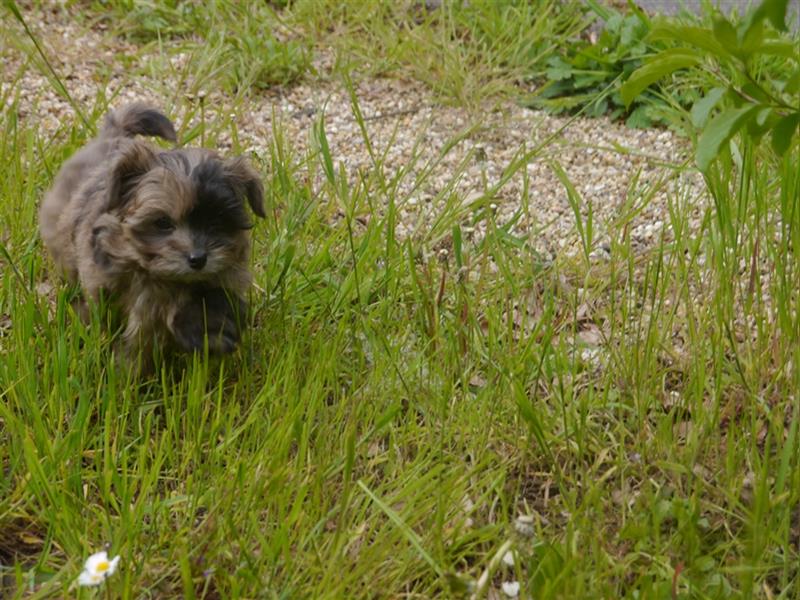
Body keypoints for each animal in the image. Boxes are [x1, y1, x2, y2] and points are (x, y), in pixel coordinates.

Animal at [39, 103, 266, 364]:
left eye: (217, 222)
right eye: (163, 223)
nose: (198, 259)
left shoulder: (221, 279)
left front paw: (212, 332)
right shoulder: (103, 281)